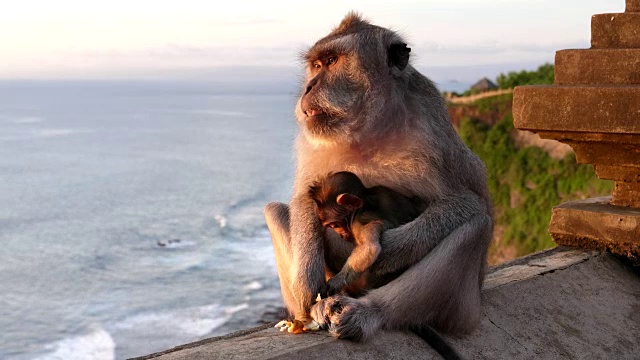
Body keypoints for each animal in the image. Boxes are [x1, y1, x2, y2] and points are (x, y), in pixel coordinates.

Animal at [262, 12, 492, 342]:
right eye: (316, 65)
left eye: (331, 61)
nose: (309, 87)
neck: (368, 131)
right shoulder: (313, 140)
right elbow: (303, 197)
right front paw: (307, 286)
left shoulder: (431, 124)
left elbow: (467, 201)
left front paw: (390, 249)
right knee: (275, 211)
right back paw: (316, 309)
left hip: (463, 307)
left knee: (476, 226)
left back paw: (369, 313)